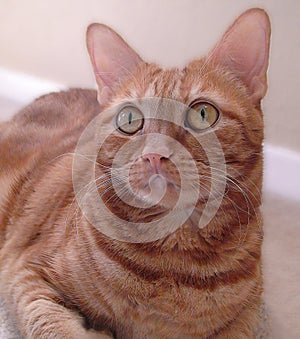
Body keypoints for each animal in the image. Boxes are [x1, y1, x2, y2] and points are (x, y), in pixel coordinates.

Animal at [0, 7, 270, 339]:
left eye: (202, 113)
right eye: (129, 119)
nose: (155, 153)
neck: (173, 260)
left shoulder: (246, 315)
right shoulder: (27, 272)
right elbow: (58, 328)